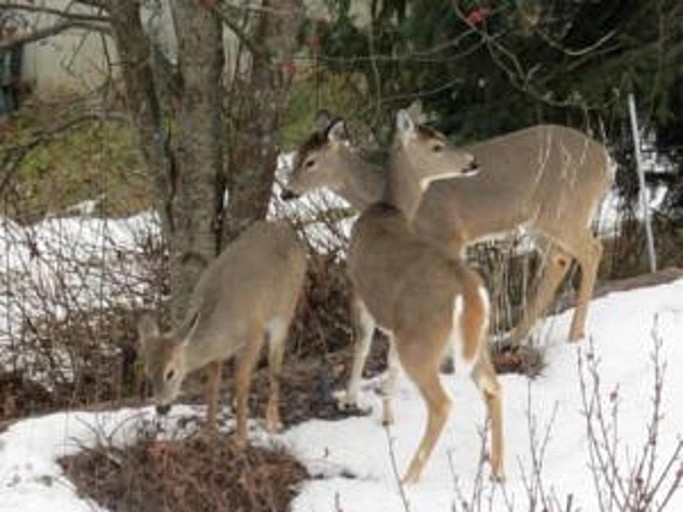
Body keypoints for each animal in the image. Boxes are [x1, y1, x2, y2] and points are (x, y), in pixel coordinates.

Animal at [137, 222, 308, 446]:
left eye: (170, 372)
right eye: (148, 372)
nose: (161, 407)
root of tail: (290, 232)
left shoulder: (253, 335)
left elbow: (241, 382)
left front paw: (240, 439)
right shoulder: (215, 356)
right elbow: (212, 387)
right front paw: (208, 433)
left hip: (285, 310)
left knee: (275, 362)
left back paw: (273, 421)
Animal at [284, 111, 616, 408]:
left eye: (311, 161)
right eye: (295, 156)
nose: (287, 192)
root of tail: (604, 159)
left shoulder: (451, 235)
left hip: (564, 208)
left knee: (592, 249)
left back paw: (575, 333)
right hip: (539, 221)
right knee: (559, 258)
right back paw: (512, 338)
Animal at [344, 111, 504, 484]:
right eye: (436, 145)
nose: (472, 161)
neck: (387, 209)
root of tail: (467, 290)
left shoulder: (358, 289)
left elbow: (362, 343)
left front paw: (350, 400)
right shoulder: (394, 320)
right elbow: (389, 361)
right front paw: (386, 415)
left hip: (422, 339)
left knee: (442, 404)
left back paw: (408, 479)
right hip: (474, 339)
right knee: (494, 388)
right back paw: (498, 472)